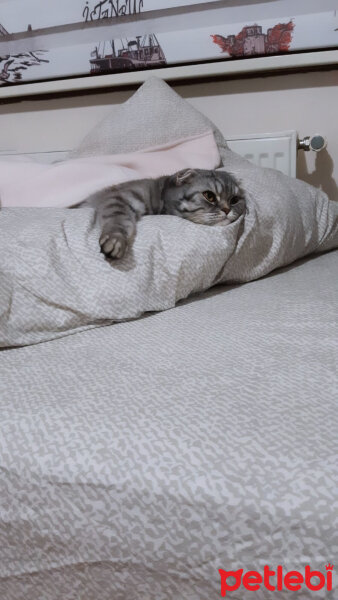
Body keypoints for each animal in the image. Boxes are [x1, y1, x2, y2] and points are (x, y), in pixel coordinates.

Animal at [79, 168, 246, 258]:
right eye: (209, 196)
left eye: (234, 200)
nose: (227, 210)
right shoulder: (117, 197)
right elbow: (119, 220)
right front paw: (116, 240)